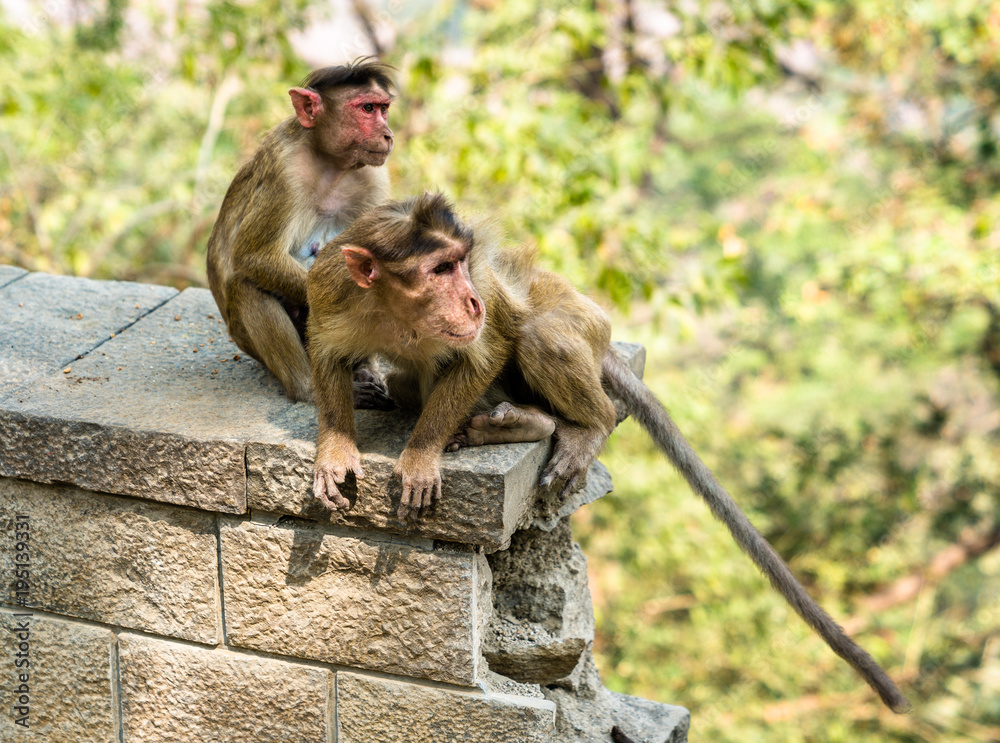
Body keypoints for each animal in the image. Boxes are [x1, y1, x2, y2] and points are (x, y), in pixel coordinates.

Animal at [207, 58, 394, 406]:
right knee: (247, 284)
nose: (388, 135)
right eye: (367, 109)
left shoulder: (374, 179)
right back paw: (307, 388)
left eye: (383, 109)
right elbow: (255, 258)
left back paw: (365, 372)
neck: (331, 163)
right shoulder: (285, 169)